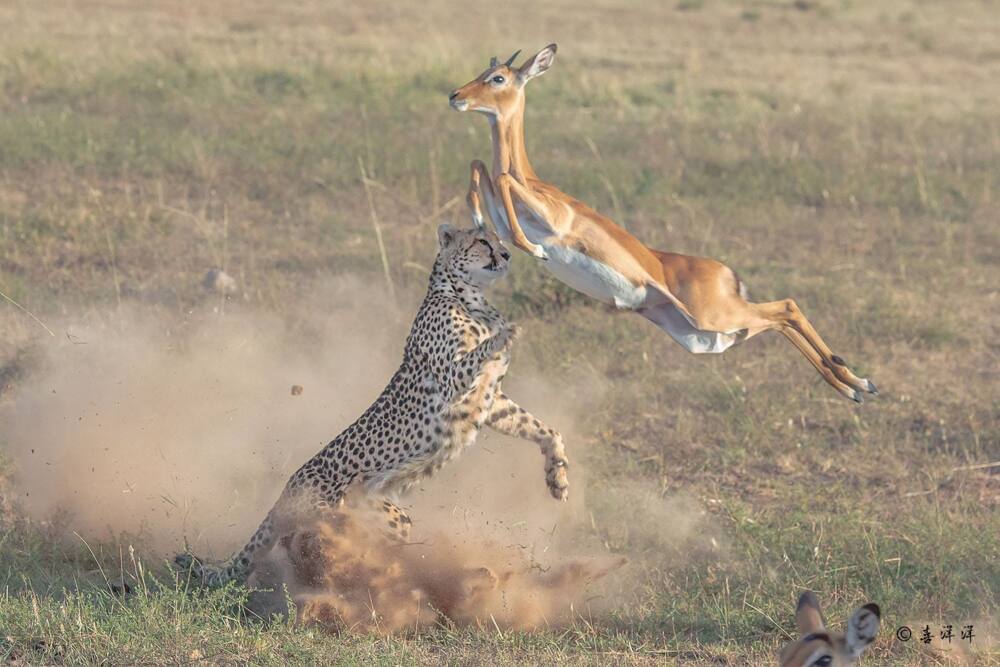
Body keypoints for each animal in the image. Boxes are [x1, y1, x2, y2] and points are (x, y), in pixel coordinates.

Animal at [178, 223, 572, 584]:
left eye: (499, 239)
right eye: (481, 241)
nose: (505, 255)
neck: (468, 297)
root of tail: (286, 490)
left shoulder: (491, 401)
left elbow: (540, 428)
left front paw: (557, 476)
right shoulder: (452, 379)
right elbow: (484, 349)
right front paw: (506, 332)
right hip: (362, 512)